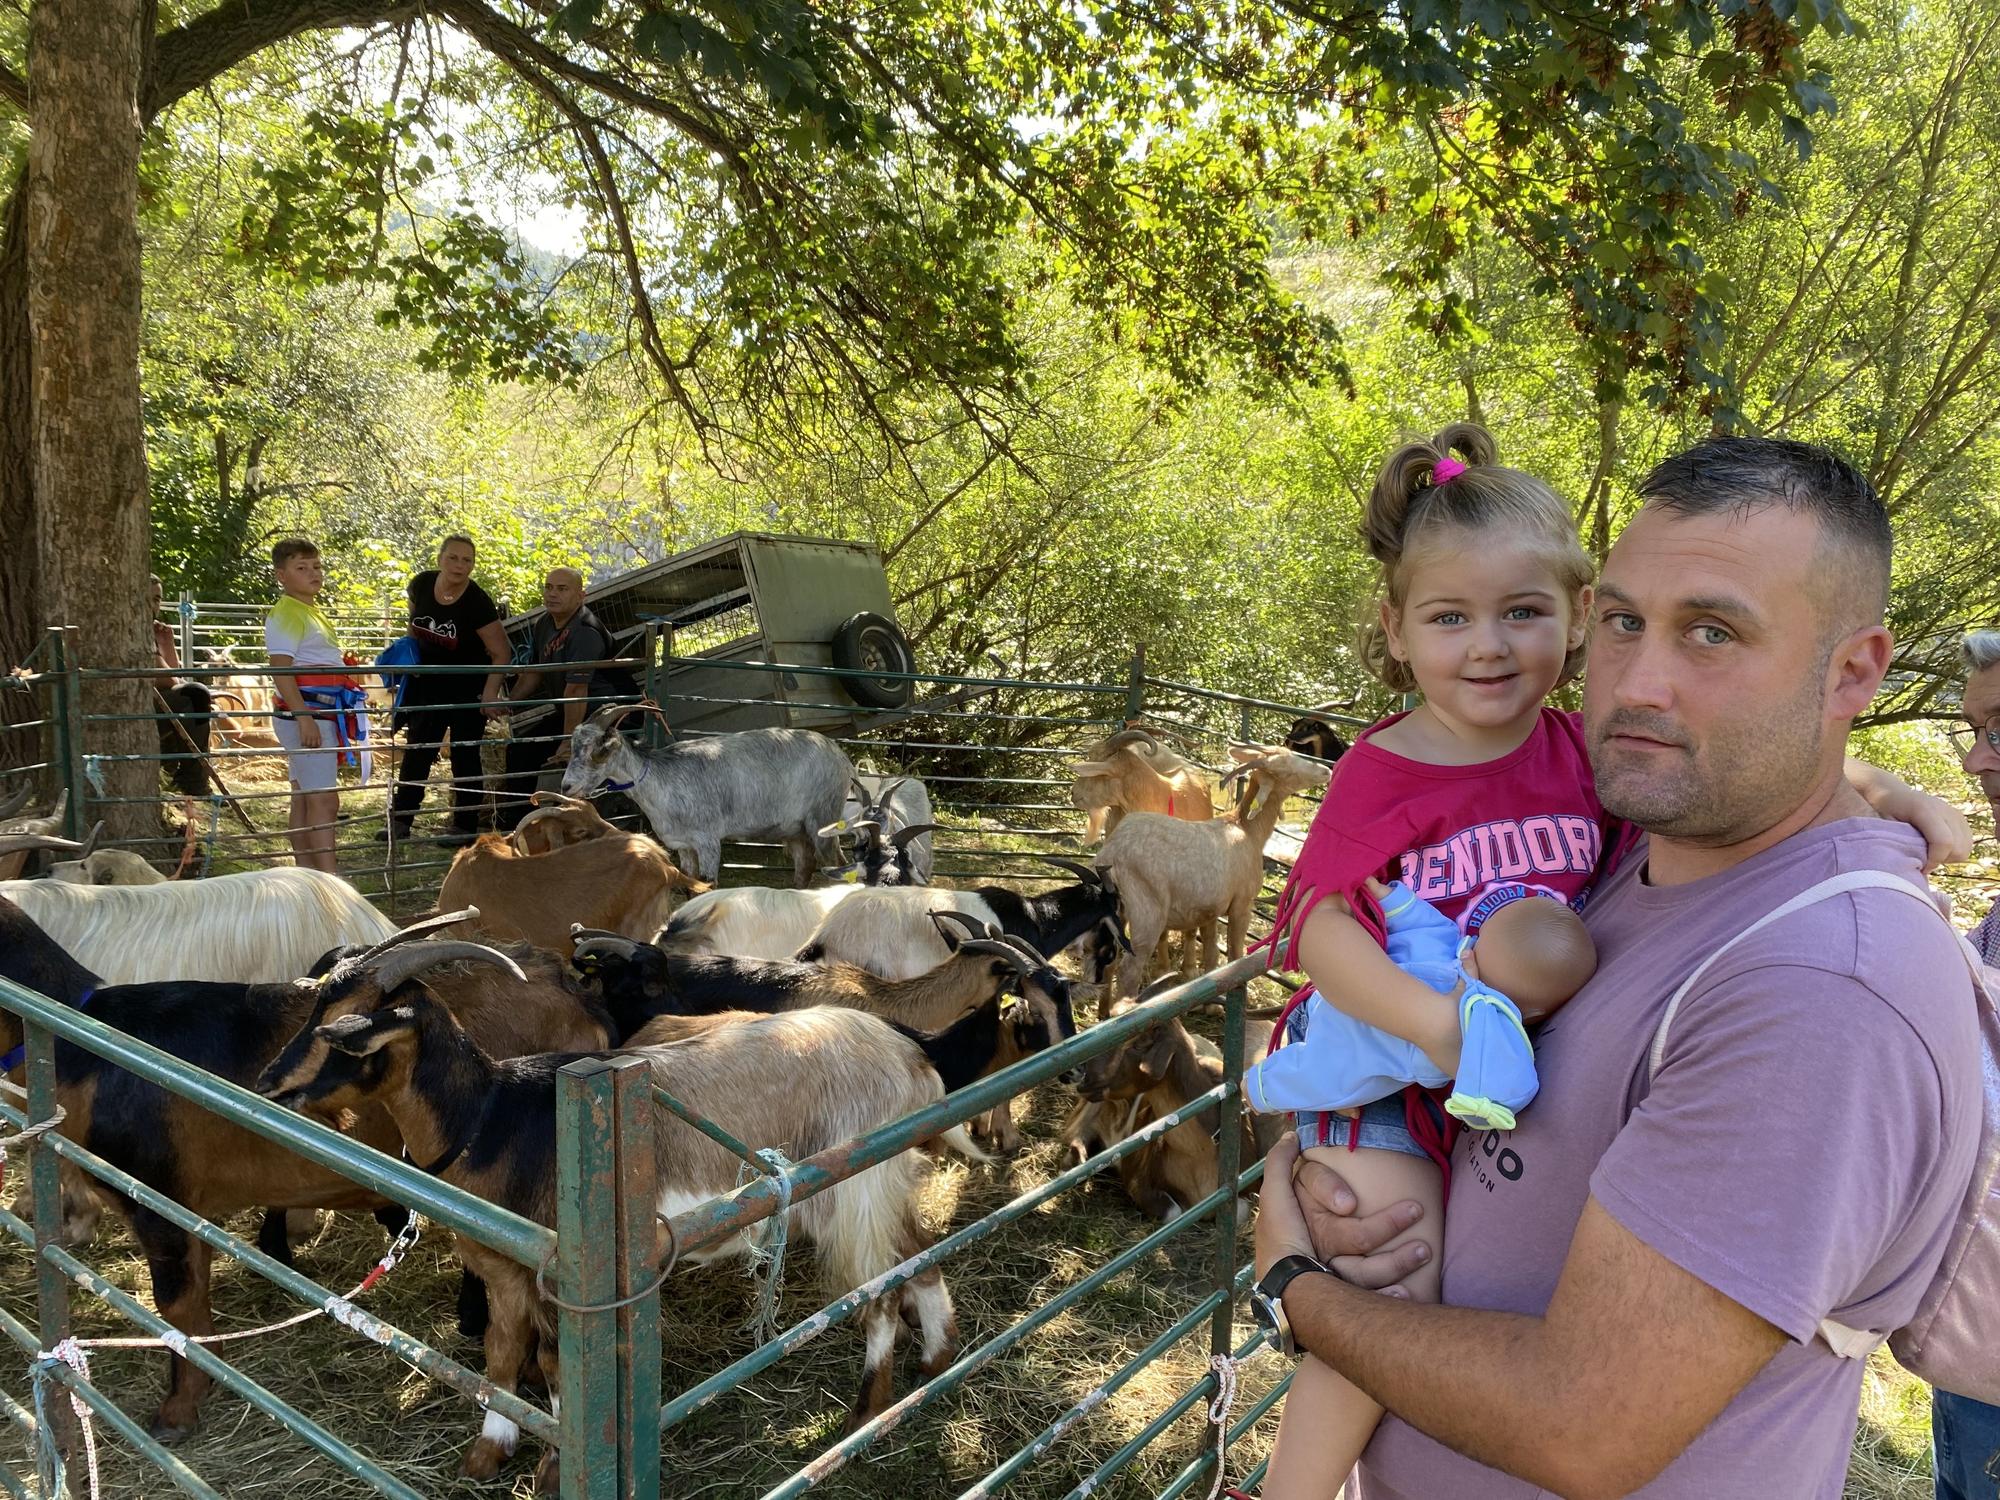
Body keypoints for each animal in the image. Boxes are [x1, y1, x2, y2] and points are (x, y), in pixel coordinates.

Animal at [560, 708, 856, 892]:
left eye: (597, 750)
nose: (566, 786)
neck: (660, 779)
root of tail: (840, 755)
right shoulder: (684, 846)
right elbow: (690, 886)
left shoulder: (708, 841)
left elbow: (708, 886)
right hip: (795, 830)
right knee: (805, 867)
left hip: (822, 819)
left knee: (839, 866)